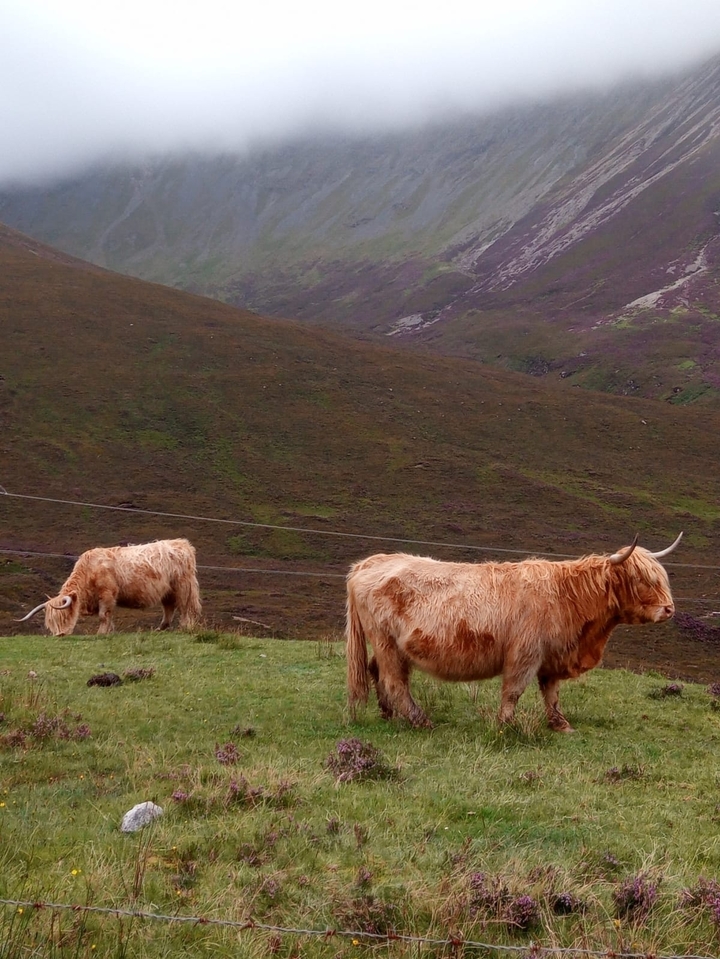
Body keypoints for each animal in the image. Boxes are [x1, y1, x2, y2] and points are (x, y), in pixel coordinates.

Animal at [17, 538, 202, 636]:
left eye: (65, 616)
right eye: (51, 621)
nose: (60, 635)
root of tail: (182, 544)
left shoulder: (107, 594)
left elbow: (103, 616)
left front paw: (101, 633)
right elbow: (109, 616)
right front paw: (109, 631)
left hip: (184, 587)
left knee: (186, 608)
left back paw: (186, 628)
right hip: (167, 592)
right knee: (169, 608)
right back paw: (160, 629)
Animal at [346, 533, 682, 732]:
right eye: (640, 579)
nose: (669, 609)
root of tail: (371, 562)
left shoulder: (551, 655)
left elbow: (552, 693)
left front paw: (560, 724)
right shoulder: (525, 653)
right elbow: (514, 690)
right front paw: (505, 724)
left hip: (388, 646)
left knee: (378, 672)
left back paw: (388, 713)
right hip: (386, 643)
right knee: (395, 681)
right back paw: (420, 720)